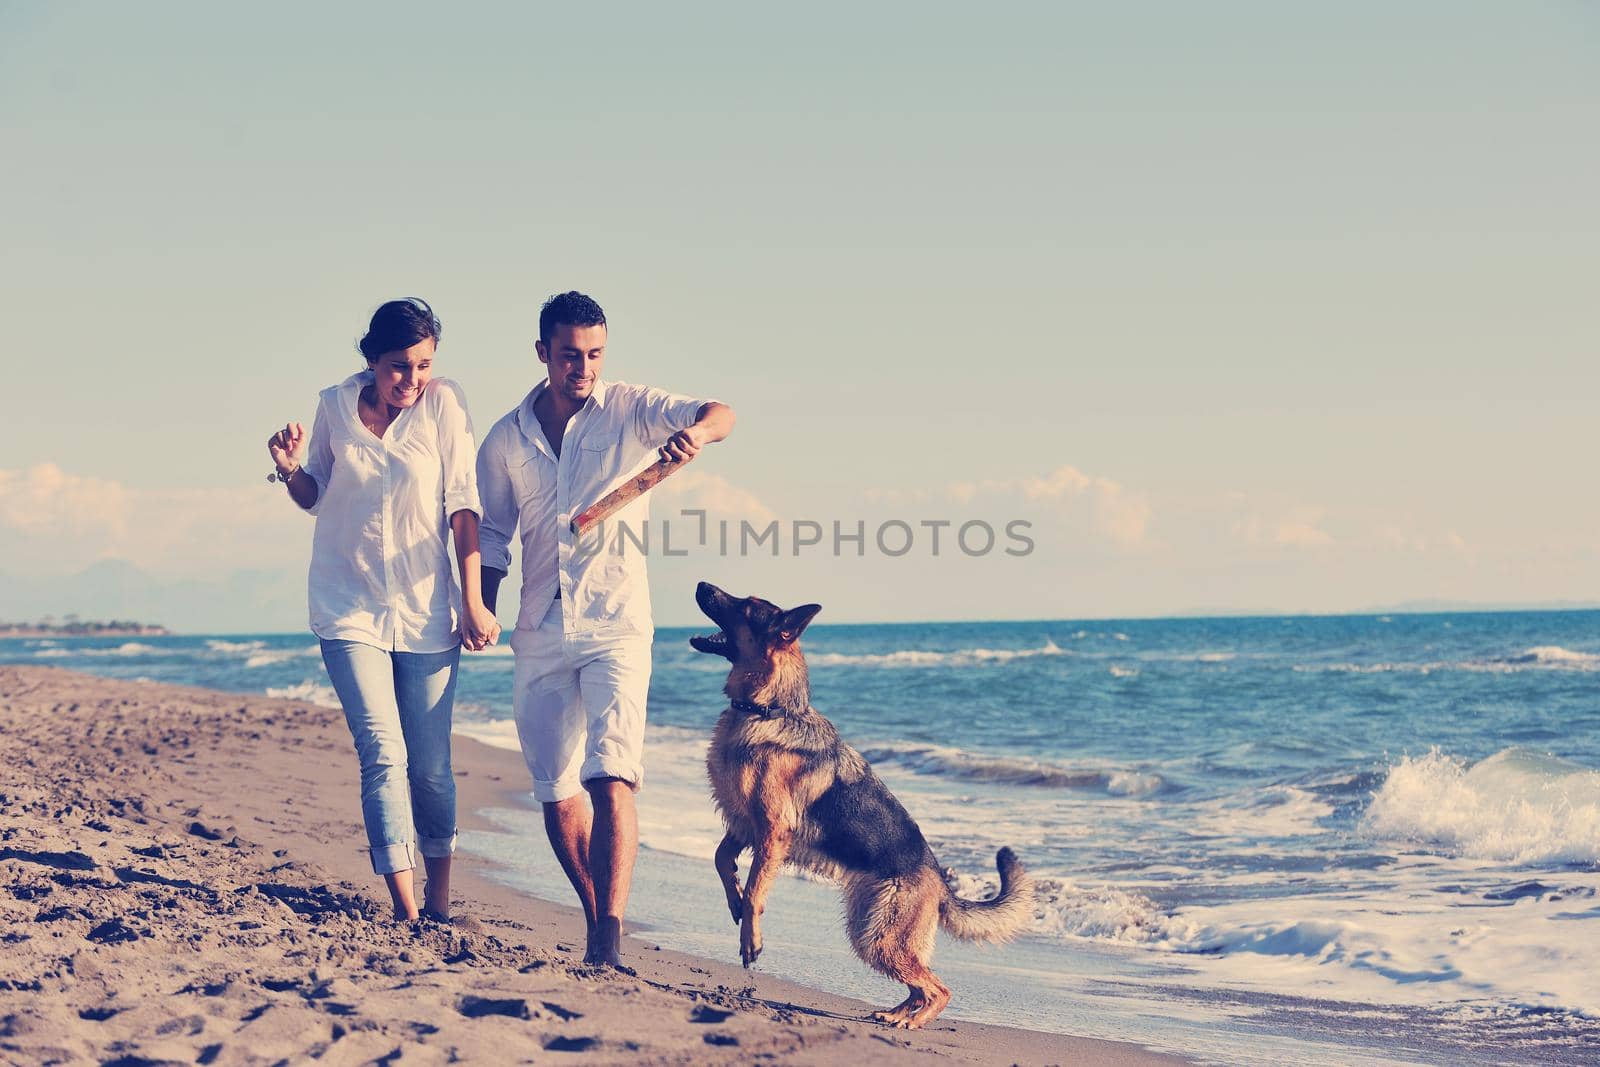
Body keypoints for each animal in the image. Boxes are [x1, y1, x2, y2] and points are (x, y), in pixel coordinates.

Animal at [691, 579, 1036, 1030]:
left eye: (746, 607)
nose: (701, 584)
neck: (770, 709)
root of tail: (940, 881)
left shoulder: (772, 831)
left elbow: (754, 891)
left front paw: (751, 938)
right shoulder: (744, 824)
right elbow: (721, 861)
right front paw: (732, 899)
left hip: (879, 937)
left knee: (939, 989)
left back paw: (912, 1023)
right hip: (871, 931)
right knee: (919, 985)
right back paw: (894, 1014)